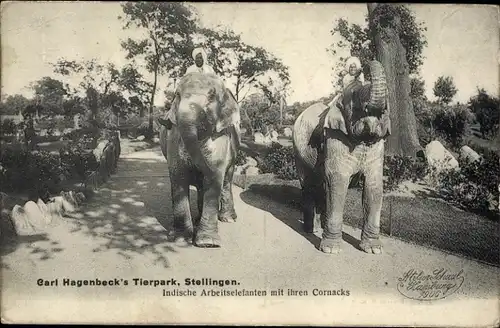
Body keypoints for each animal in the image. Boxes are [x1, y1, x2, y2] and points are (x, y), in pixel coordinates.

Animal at [158, 71, 240, 246]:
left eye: (211, 96)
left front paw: (207, 243)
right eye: (177, 95)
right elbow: (178, 177)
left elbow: (215, 176)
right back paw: (197, 220)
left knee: (226, 181)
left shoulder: (221, 137)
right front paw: (180, 239)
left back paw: (228, 219)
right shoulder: (174, 137)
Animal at [292, 60, 390, 255]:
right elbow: (338, 181)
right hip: (299, 152)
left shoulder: (378, 144)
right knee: (309, 185)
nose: (364, 65)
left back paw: (319, 228)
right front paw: (330, 250)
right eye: (355, 97)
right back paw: (310, 230)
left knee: (321, 186)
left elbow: (374, 186)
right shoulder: (334, 136)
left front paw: (374, 250)